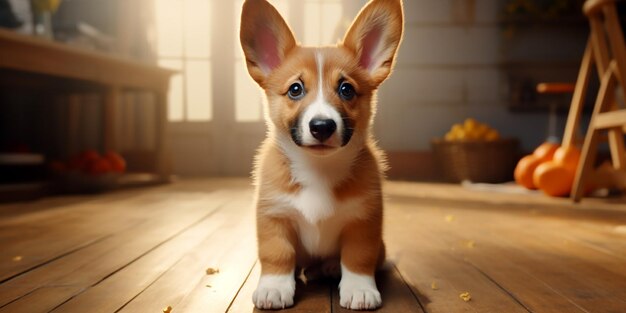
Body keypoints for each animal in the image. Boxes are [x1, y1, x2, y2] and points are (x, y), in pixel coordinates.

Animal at [239, 0, 404, 308]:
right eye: (295, 89)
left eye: (346, 89)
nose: (322, 126)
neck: (318, 168)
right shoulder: (274, 217)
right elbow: (277, 254)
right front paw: (274, 287)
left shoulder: (363, 222)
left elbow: (358, 258)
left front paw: (360, 289)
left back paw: (328, 267)